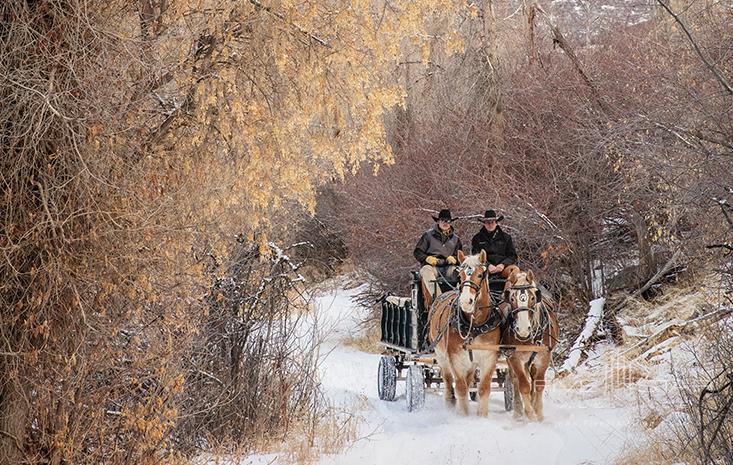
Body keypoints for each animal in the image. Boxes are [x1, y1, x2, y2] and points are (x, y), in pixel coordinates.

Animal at [428, 248, 504, 416]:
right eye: (460, 276)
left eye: (480, 275)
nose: (465, 301)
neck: (475, 326)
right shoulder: (455, 358)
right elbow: (460, 388)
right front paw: (463, 415)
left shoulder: (489, 357)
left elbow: (483, 388)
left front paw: (481, 416)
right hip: (442, 356)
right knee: (448, 382)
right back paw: (450, 404)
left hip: (471, 362)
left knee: (469, 381)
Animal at [500, 268, 556, 420]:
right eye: (512, 298)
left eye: (532, 298)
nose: (523, 329)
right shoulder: (515, 358)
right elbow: (523, 385)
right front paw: (530, 414)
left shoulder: (544, 357)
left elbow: (538, 384)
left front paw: (539, 413)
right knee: (515, 380)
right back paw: (519, 411)